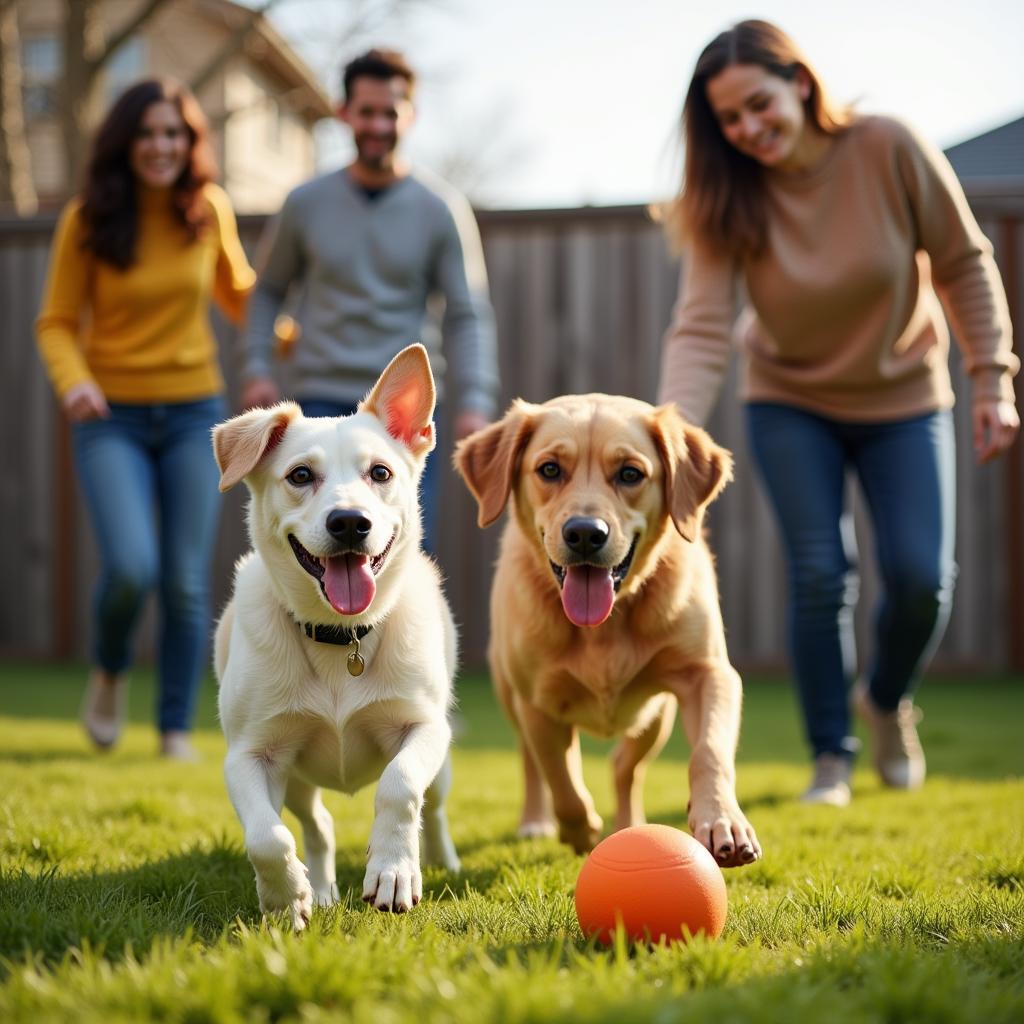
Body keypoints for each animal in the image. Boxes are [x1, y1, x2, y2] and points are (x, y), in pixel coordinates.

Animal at [211, 342, 460, 929]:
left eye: (380, 472)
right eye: (300, 475)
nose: (350, 522)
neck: (340, 637)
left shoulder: (424, 727)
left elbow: (399, 786)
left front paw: (393, 870)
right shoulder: (249, 754)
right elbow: (266, 838)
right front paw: (286, 897)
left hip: (444, 762)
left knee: (434, 807)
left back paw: (442, 861)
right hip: (298, 779)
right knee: (316, 826)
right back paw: (321, 889)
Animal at [456, 395, 761, 868]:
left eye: (630, 473)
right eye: (549, 469)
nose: (585, 533)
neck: (605, 624)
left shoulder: (710, 674)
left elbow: (709, 751)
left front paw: (721, 819)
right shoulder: (537, 700)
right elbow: (561, 778)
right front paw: (580, 830)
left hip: (655, 715)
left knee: (624, 766)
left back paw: (630, 824)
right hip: (508, 691)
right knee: (531, 762)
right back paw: (536, 821)